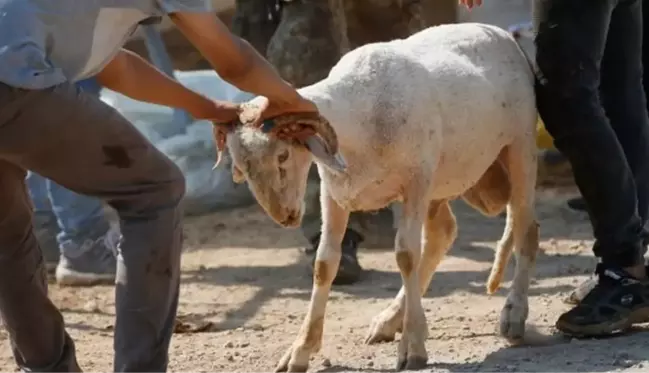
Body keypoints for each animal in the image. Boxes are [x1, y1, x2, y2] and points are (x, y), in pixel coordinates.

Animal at [221, 21, 536, 370]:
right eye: (241, 167)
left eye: (282, 156)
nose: (284, 216)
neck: (360, 112)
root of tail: (500, 32)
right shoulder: (335, 191)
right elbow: (324, 263)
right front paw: (300, 350)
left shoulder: (415, 183)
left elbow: (406, 255)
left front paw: (413, 347)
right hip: (441, 181)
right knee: (442, 233)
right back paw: (390, 319)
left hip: (519, 148)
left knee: (526, 230)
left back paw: (514, 313)